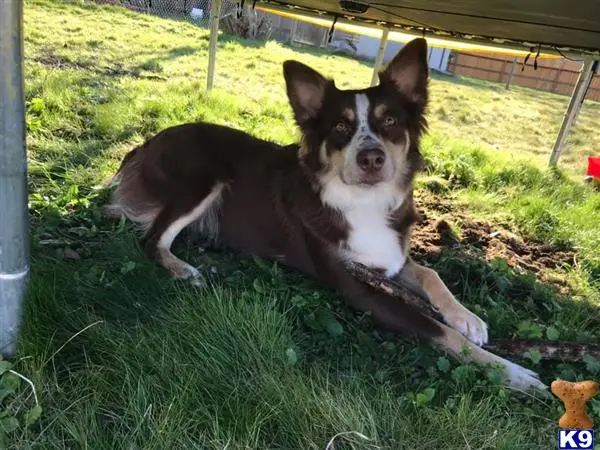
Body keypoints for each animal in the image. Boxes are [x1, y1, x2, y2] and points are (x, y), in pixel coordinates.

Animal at [109, 38, 548, 390]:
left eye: (391, 121)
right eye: (340, 126)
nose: (371, 158)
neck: (364, 202)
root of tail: (146, 143)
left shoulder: (388, 259)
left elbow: (430, 273)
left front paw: (467, 318)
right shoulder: (357, 287)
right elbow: (438, 332)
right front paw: (512, 372)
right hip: (205, 176)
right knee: (152, 239)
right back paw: (182, 268)